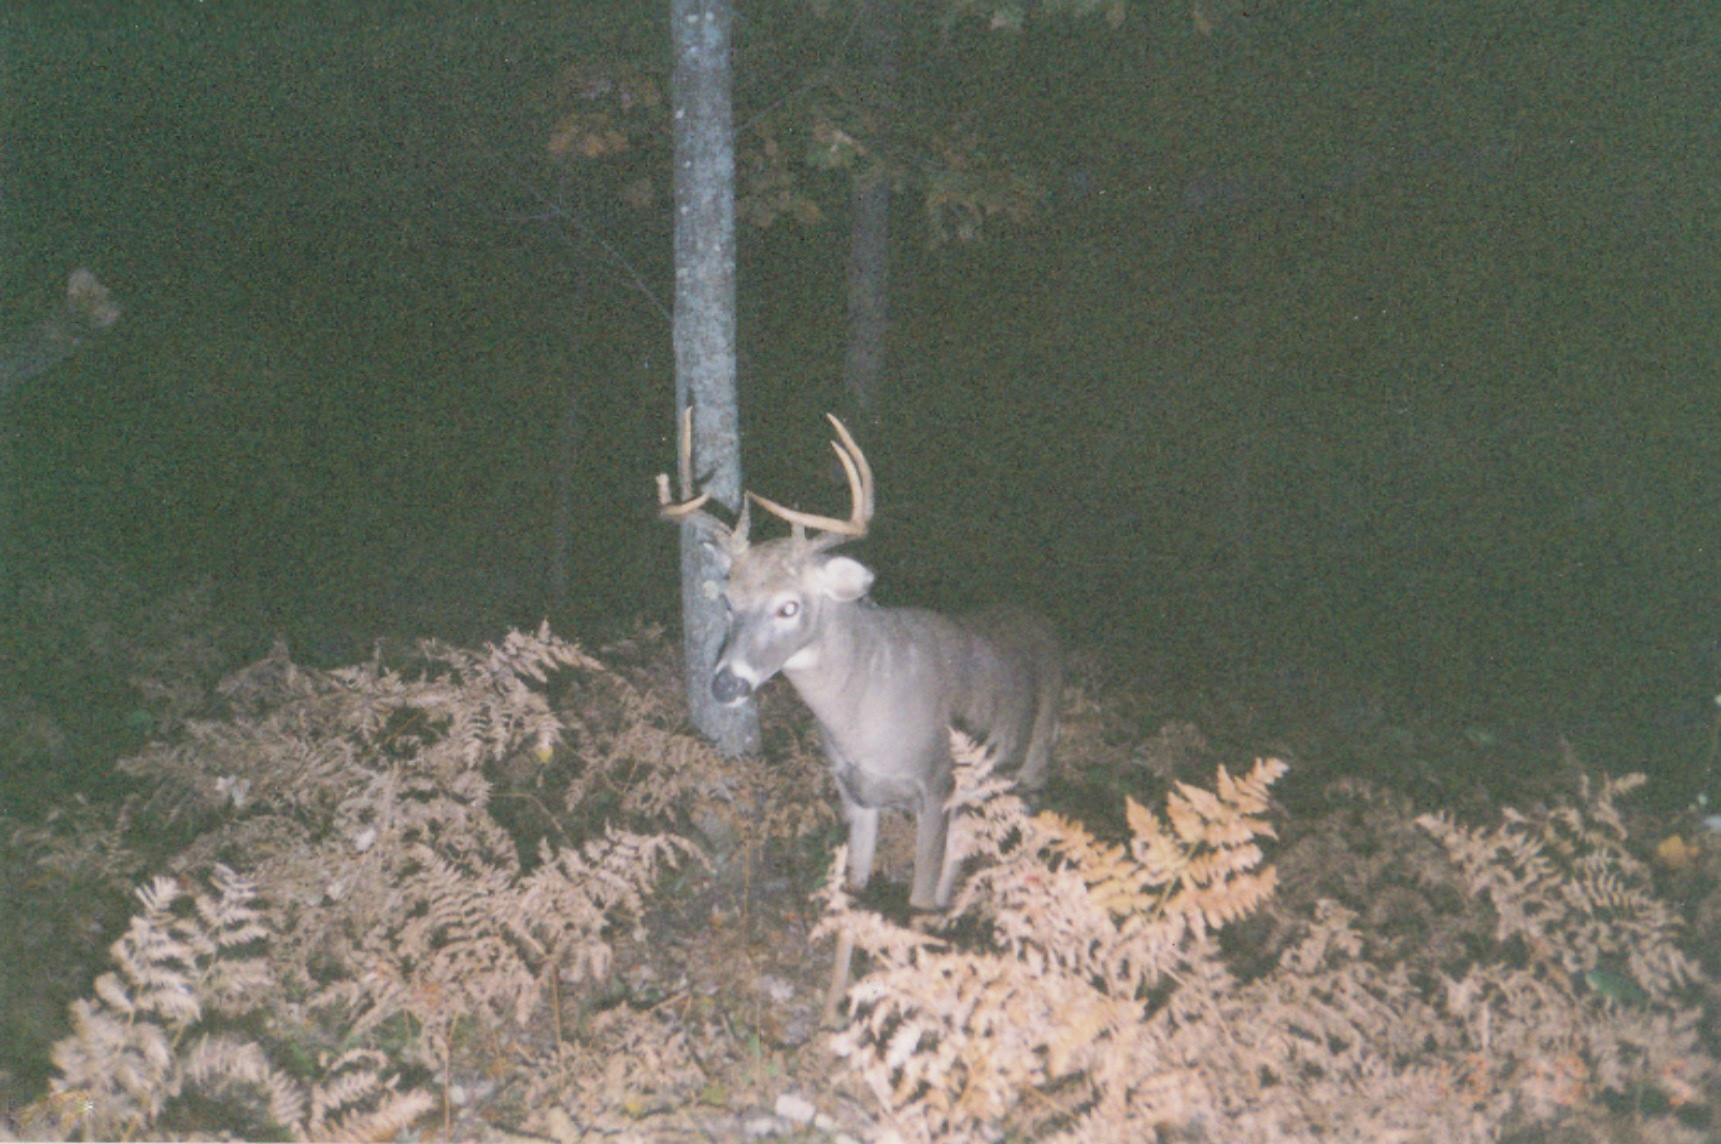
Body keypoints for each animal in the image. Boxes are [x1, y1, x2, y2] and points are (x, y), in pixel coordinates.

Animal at [658, 412, 1063, 1019]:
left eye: (790, 606)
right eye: (728, 601)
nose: (726, 683)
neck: (867, 714)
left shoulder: (937, 784)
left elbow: (915, 901)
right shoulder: (855, 794)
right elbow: (852, 898)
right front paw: (831, 1017)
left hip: (1030, 765)